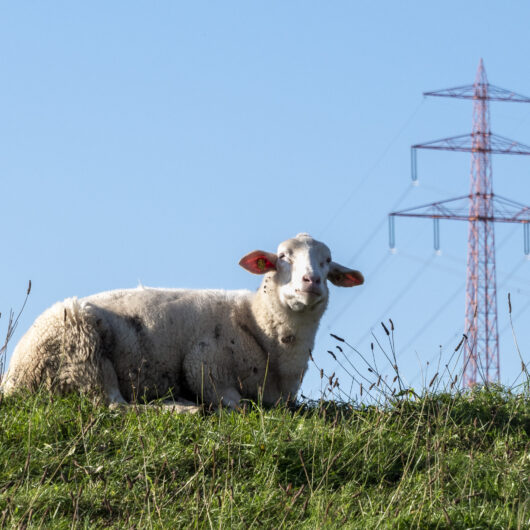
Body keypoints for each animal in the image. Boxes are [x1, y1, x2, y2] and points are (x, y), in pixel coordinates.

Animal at [0, 232, 360, 408]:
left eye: (327, 262)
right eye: (283, 257)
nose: (311, 281)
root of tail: (13, 379)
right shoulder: (205, 365)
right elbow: (240, 406)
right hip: (82, 351)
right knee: (112, 405)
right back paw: (180, 407)